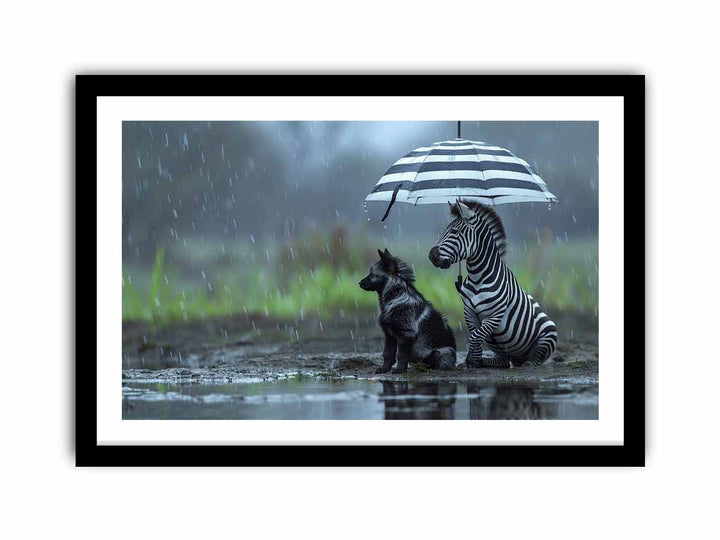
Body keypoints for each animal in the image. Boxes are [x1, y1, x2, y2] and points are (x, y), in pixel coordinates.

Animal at [428, 199, 557, 368]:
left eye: (455, 232)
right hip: (495, 341)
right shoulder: (469, 313)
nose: (431, 255)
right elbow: (474, 336)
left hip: (548, 335)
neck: (478, 277)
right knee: (504, 361)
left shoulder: (494, 316)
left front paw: (472, 361)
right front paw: (472, 361)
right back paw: (486, 361)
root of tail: (518, 358)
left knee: (536, 358)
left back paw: (528, 364)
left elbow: (475, 336)